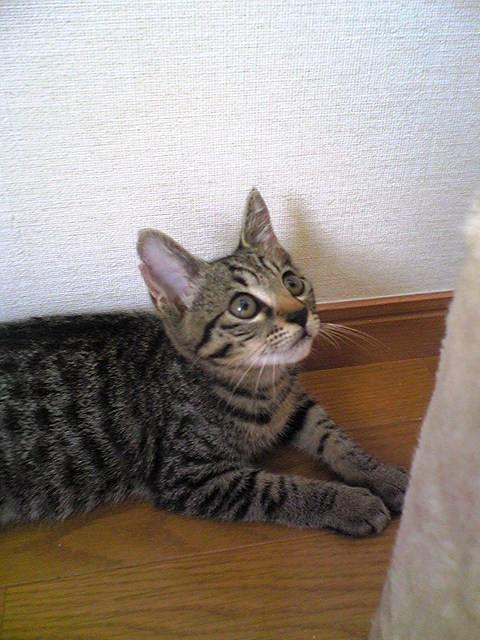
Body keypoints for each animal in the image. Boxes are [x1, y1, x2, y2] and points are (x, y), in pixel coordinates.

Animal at [0, 189, 408, 535]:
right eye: (243, 306)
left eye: (292, 283)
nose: (300, 315)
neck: (263, 384)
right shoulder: (189, 475)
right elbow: (275, 487)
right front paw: (348, 502)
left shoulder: (294, 407)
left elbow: (334, 437)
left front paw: (386, 475)